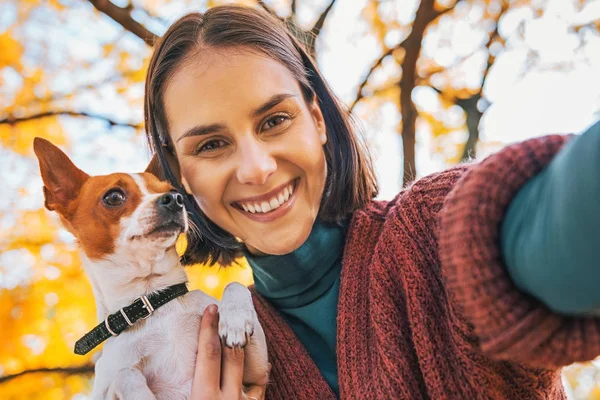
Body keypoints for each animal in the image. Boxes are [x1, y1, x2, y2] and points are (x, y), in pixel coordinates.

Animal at [32, 138, 268, 400]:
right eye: (114, 197)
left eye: (173, 190)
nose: (175, 199)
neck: (151, 298)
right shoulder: (109, 382)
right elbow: (126, 374)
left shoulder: (257, 375)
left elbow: (234, 285)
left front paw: (235, 320)